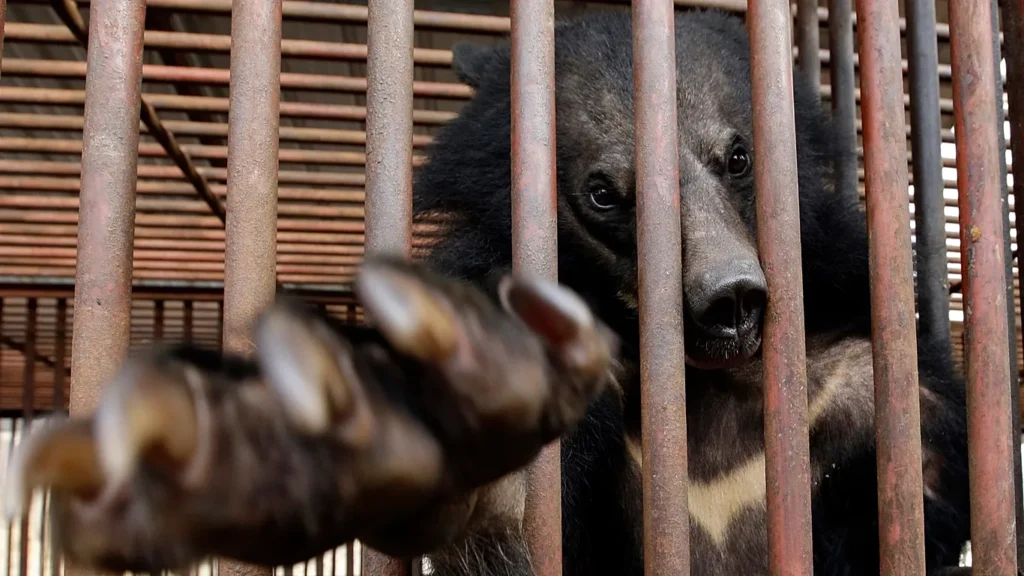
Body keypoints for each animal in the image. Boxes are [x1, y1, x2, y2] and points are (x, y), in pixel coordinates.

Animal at [1, 8, 972, 576]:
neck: (698, 390)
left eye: (738, 156)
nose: (727, 300)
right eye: (603, 193)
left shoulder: (860, 378)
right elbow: (500, 515)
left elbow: (923, 492)